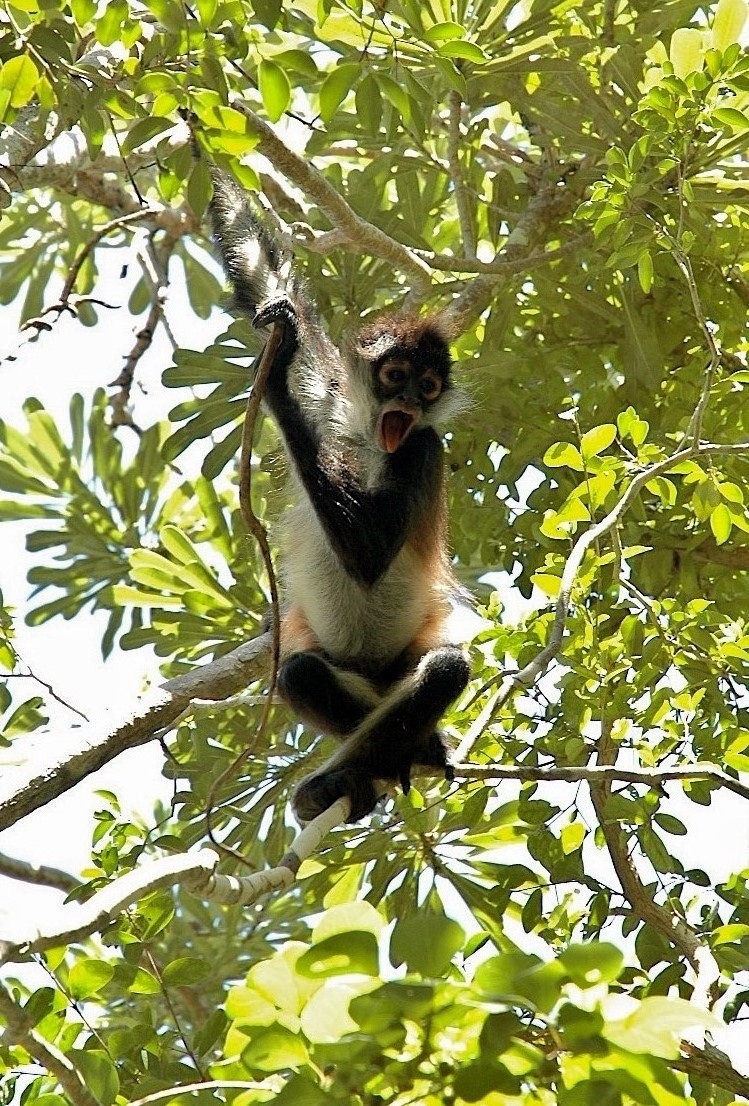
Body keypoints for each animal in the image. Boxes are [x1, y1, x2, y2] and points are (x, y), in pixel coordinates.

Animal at [209, 168, 470, 823]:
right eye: (395, 376)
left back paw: (381, 761)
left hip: (407, 658)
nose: (411, 401)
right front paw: (203, 150)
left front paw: (274, 381)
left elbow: (369, 555)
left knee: (443, 670)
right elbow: (267, 281)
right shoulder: (328, 391)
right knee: (301, 673)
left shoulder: (424, 447)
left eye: (430, 387)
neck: (364, 437)